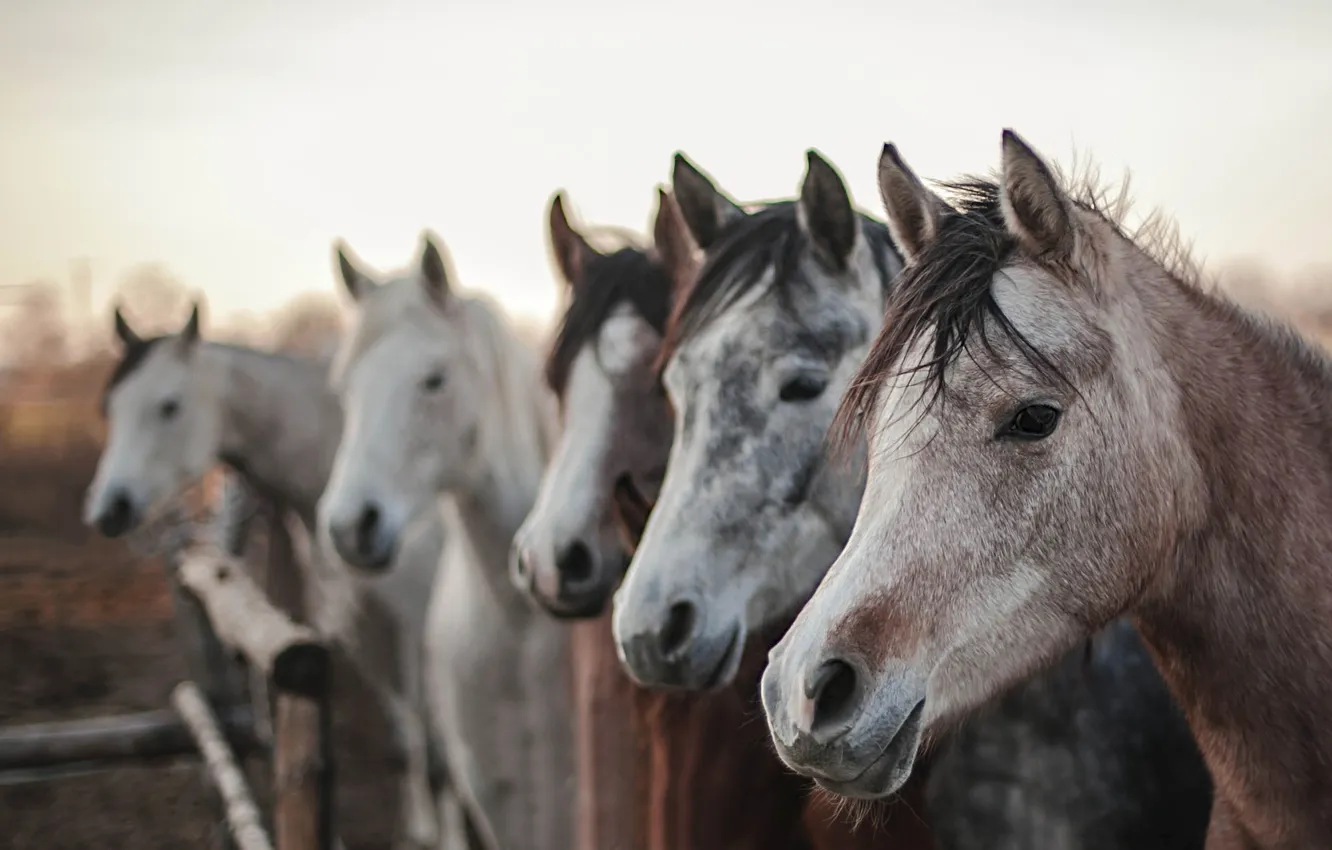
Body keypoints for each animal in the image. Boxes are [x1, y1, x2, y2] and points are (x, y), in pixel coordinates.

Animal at [81, 304, 453, 850]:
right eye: (109, 407)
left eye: (168, 406)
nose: (108, 510)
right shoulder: (363, 628)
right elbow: (406, 744)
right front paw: (416, 835)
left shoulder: (417, 626)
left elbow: (439, 756)